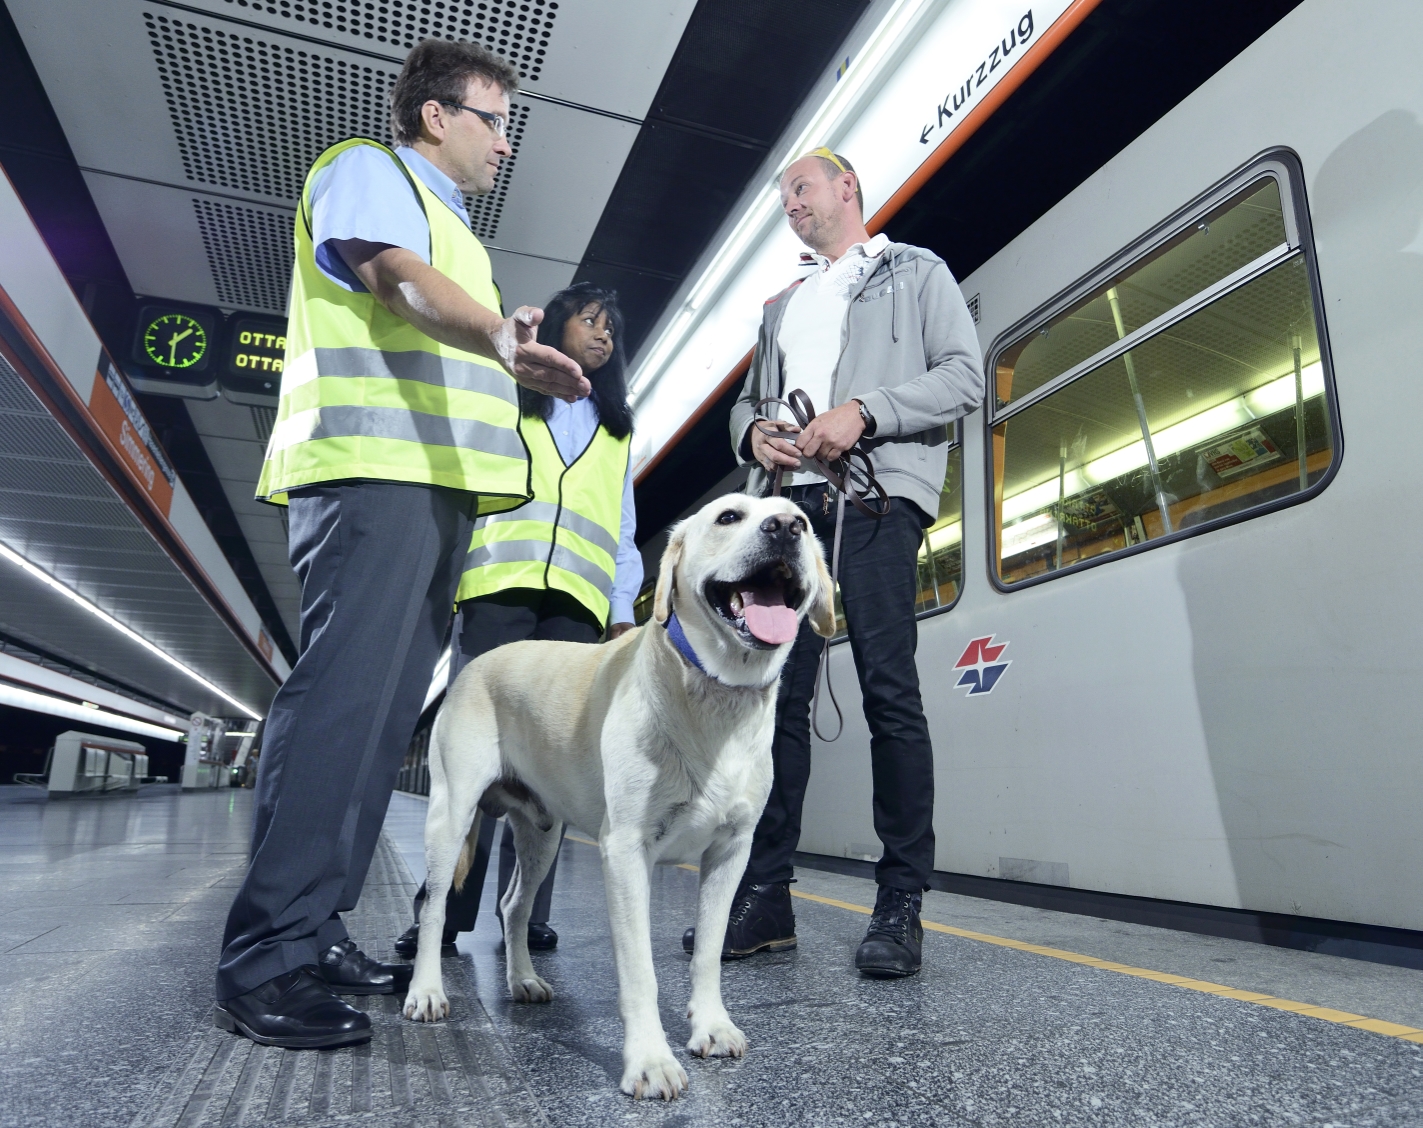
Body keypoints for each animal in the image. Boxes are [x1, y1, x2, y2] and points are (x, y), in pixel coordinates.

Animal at [404, 489, 831, 1092]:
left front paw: (711, 1027)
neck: (716, 694)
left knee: (513, 906)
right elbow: (639, 971)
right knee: (436, 906)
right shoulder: (626, 851)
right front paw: (650, 1060)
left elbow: (707, 950)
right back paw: (426, 991)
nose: (787, 527)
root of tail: (477, 664)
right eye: (728, 516)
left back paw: (523, 979)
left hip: (542, 834)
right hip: (451, 815)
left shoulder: (731, 852)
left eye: (806, 524)